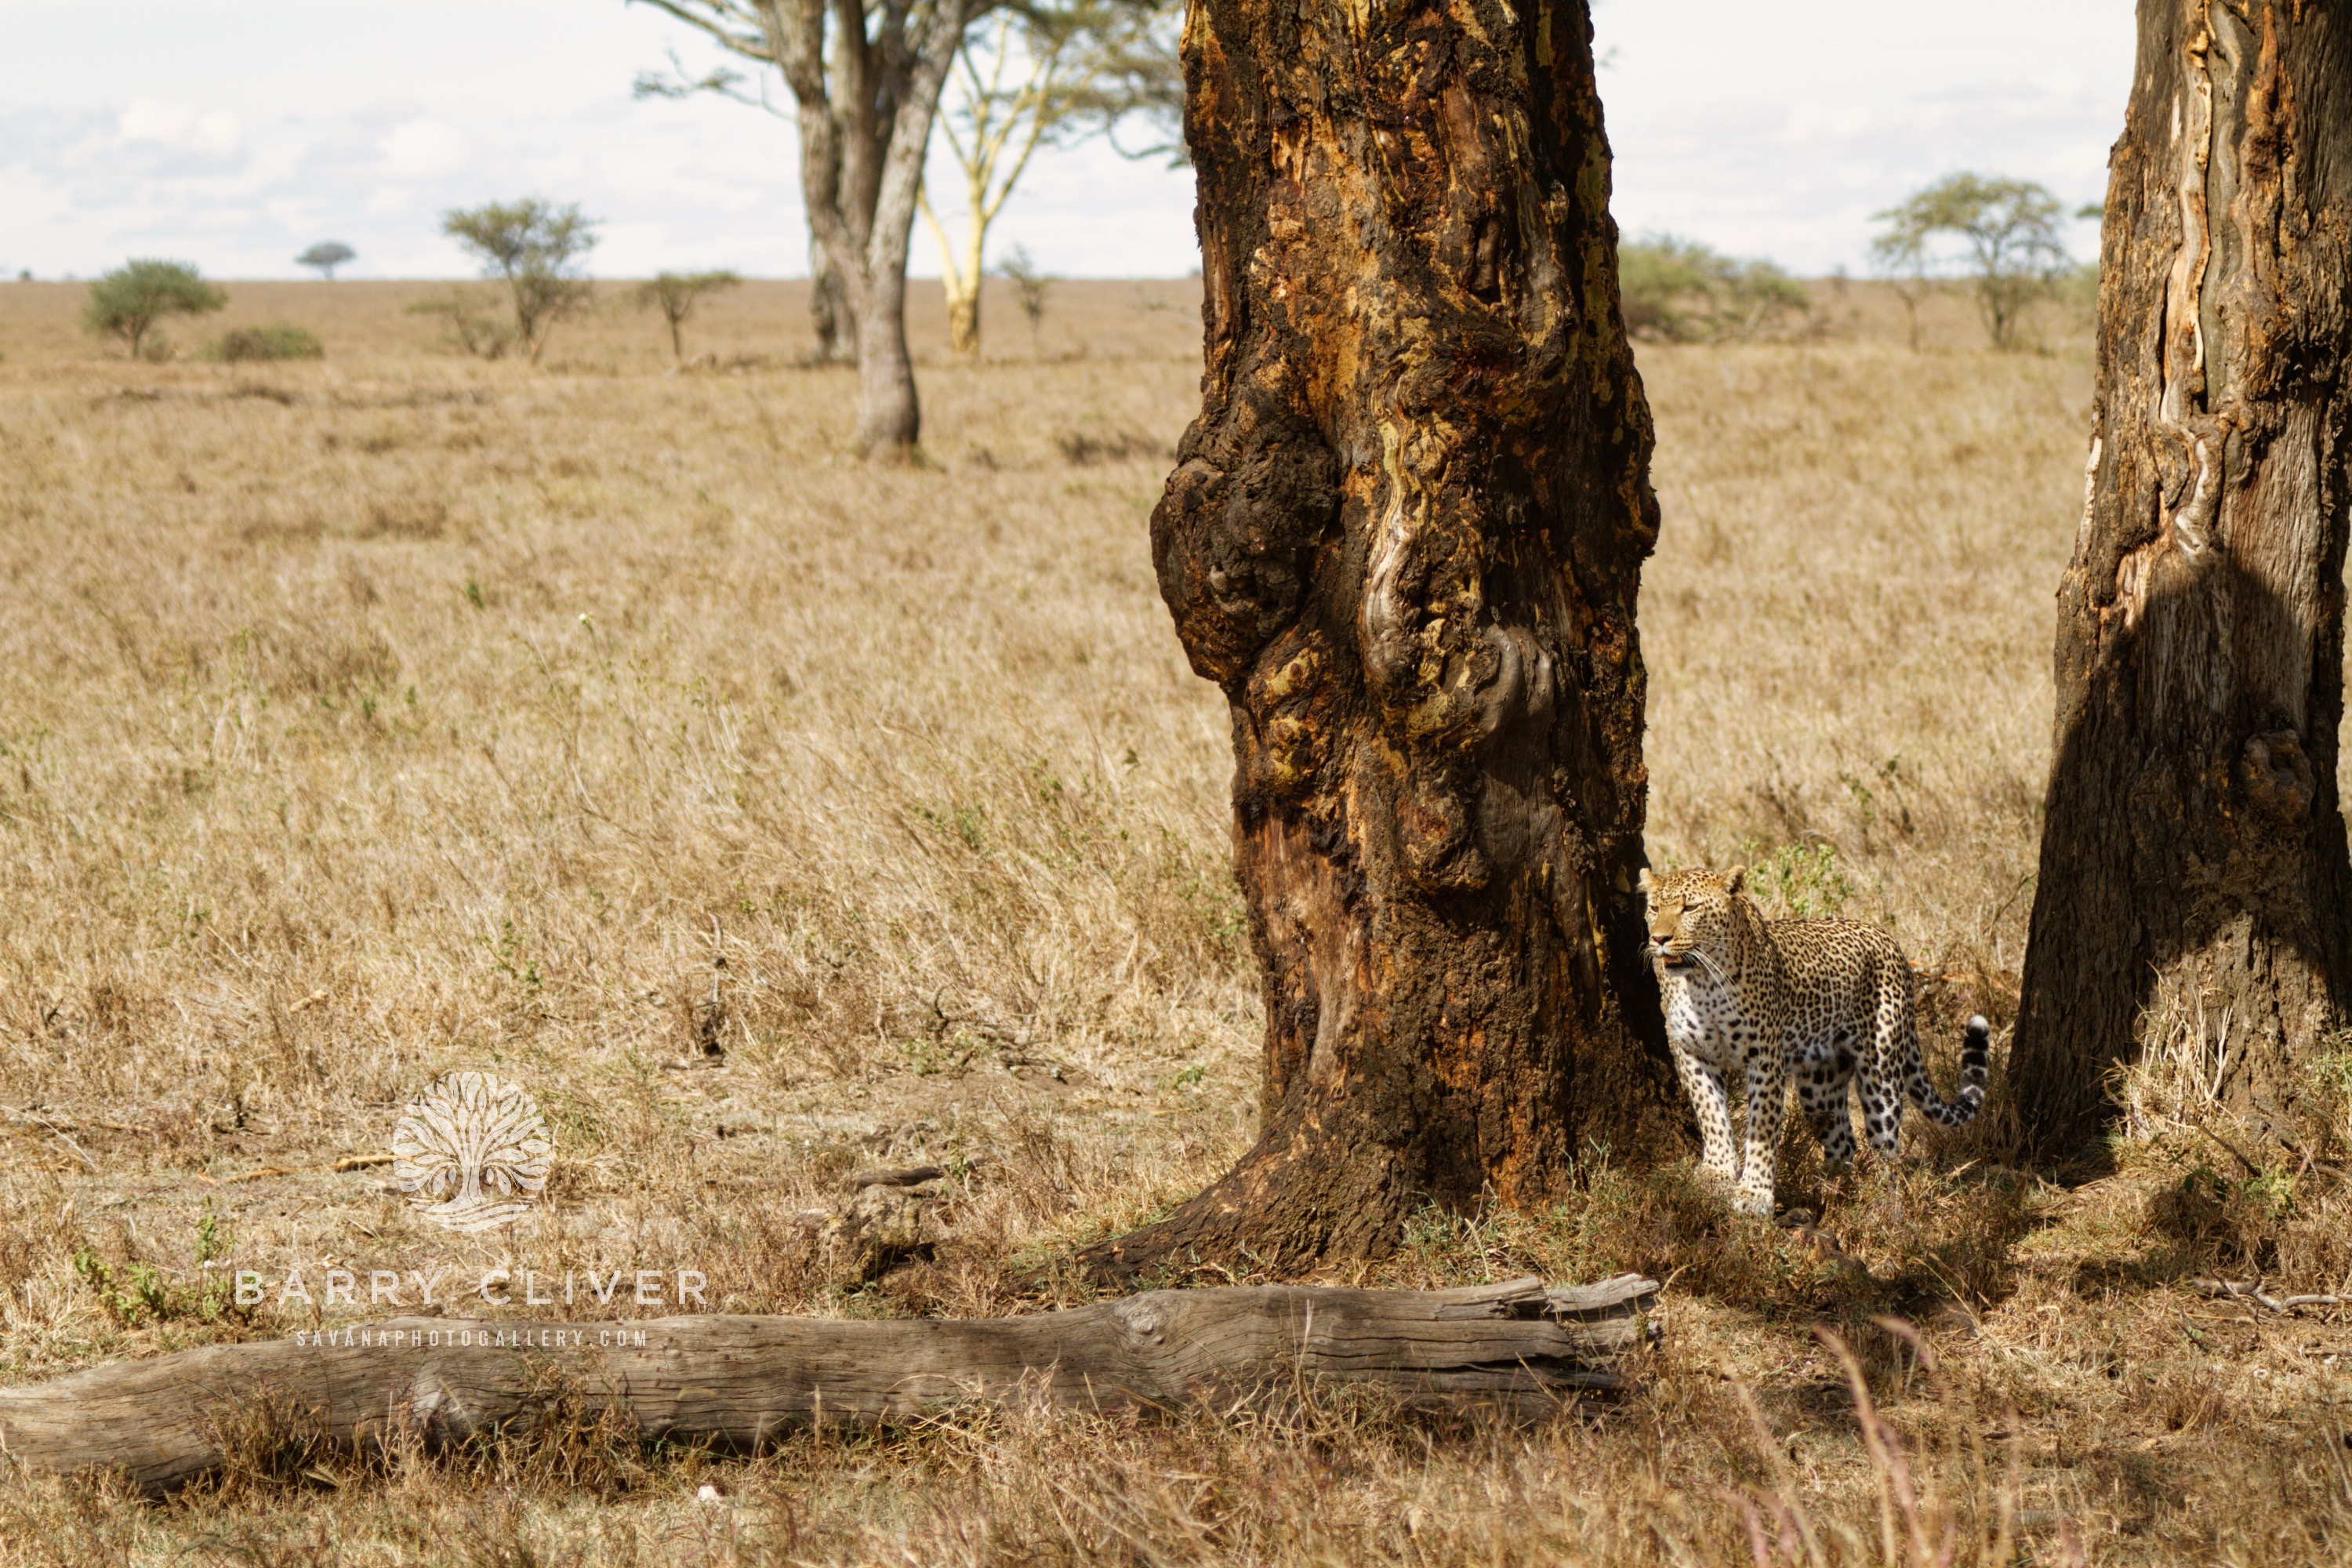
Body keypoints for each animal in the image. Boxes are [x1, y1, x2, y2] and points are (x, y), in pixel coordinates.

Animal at [1637, 865, 1985, 1222]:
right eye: (1654, 909)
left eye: (1690, 908)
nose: (1659, 939)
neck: (1702, 982)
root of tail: (1891, 943)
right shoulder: (1692, 1052)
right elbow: (1712, 1114)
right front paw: (1716, 1173)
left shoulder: (1764, 1058)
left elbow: (1762, 1128)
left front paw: (1755, 1194)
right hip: (1820, 1086)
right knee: (1844, 1141)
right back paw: (1833, 1191)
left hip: (1881, 1073)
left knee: (1887, 1149)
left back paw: (1882, 1206)